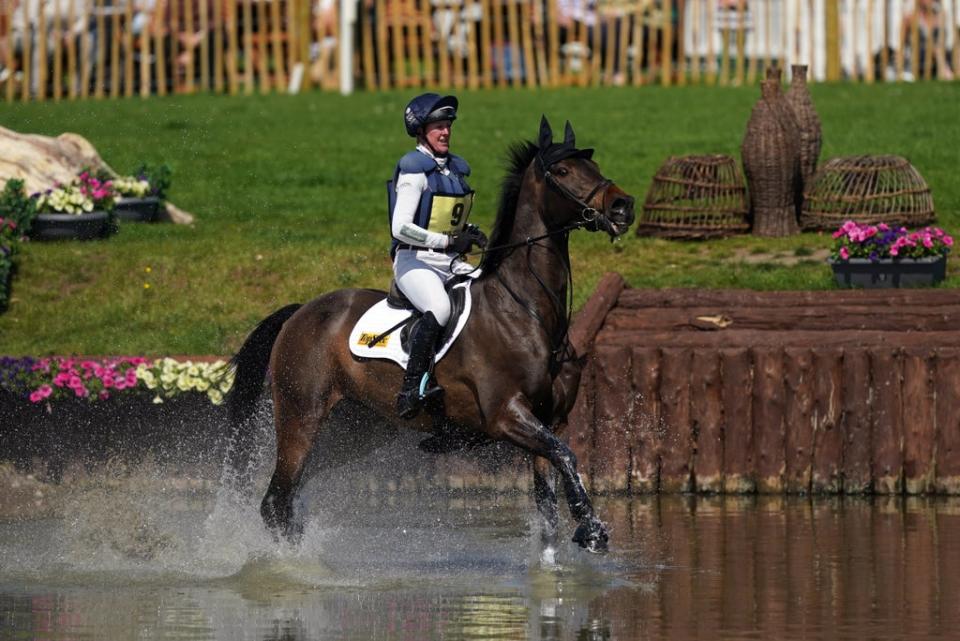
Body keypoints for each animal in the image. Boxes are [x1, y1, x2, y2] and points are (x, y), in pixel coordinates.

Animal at [227, 119, 636, 556]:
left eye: (593, 166)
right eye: (563, 171)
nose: (622, 206)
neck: (527, 310)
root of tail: (301, 311)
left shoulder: (549, 422)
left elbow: (549, 502)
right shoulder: (506, 415)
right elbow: (568, 458)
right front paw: (591, 527)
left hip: (356, 429)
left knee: (290, 493)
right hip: (301, 415)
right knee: (276, 498)